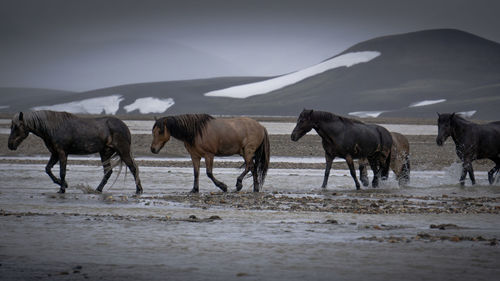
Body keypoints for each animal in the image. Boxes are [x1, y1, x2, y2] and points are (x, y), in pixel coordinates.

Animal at [7, 110, 143, 194]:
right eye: (11, 126)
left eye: (17, 127)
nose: (10, 145)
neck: (53, 127)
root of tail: (124, 126)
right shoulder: (55, 154)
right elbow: (48, 169)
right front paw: (63, 184)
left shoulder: (62, 153)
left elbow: (62, 172)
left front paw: (62, 189)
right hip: (105, 153)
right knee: (108, 172)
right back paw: (98, 190)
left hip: (123, 151)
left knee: (133, 168)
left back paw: (138, 190)